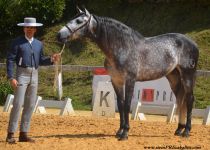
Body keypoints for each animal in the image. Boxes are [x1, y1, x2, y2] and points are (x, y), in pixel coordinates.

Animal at [57, 8, 199, 140]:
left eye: (79, 21)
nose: (59, 35)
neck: (123, 47)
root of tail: (192, 43)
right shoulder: (116, 81)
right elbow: (120, 105)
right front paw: (119, 131)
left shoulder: (130, 80)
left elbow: (127, 105)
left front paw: (125, 133)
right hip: (173, 77)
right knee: (180, 99)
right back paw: (179, 129)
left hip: (188, 75)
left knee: (189, 100)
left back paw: (186, 131)